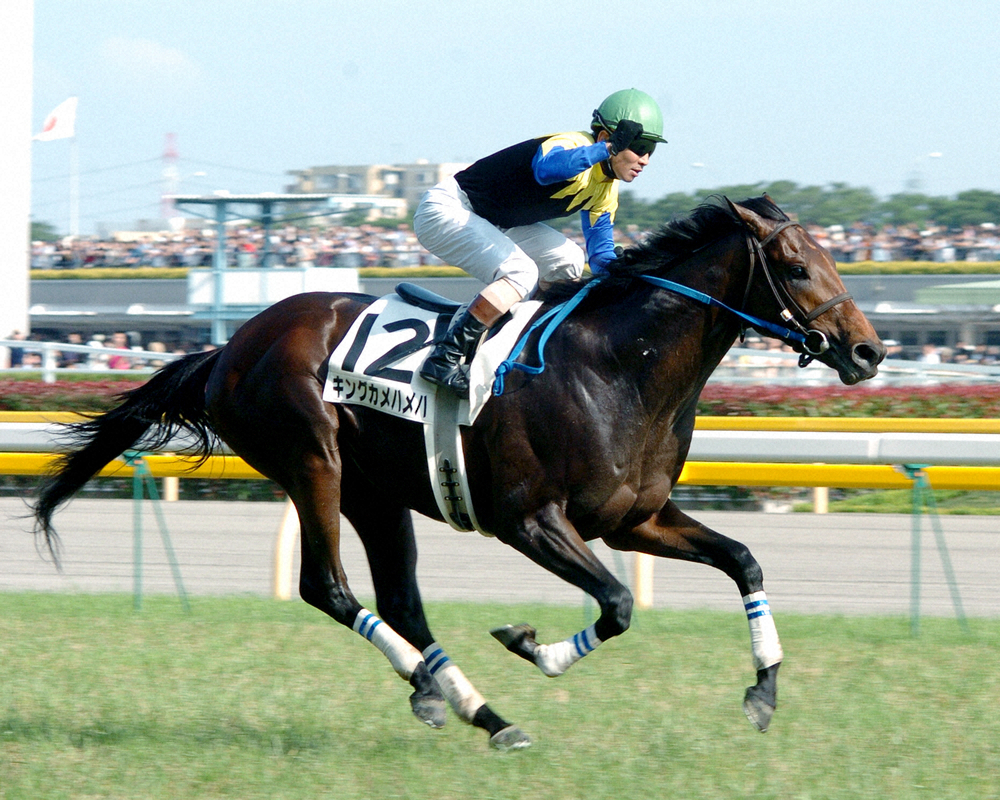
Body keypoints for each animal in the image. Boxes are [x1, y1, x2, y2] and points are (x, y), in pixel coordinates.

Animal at [33, 196, 885, 750]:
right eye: (796, 266)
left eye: (829, 256)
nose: (868, 350)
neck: (619, 366)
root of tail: (227, 348)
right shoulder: (529, 519)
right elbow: (615, 605)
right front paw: (531, 644)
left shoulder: (634, 517)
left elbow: (742, 560)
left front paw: (764, 691)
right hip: (313, 462)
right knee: (329, 588)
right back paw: (462, 699)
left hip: (377, 493)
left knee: (401, 602)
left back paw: (468, 708)